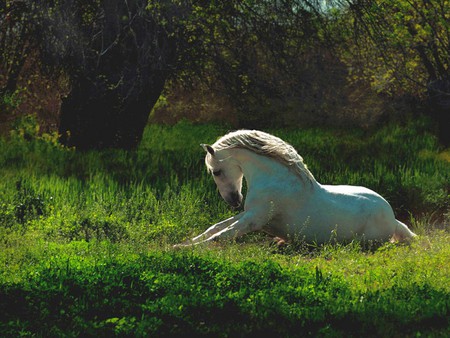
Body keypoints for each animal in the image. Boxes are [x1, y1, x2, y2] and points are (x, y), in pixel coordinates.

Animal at [175, 129, 414, 246]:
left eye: (216, 171)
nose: (234, 201)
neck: (276, 180)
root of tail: (393, 218)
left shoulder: (254, 218)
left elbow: (221, 235)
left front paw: (182, 248)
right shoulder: (248, 213)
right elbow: (214, 228)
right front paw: (187, 241)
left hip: (366, 241)